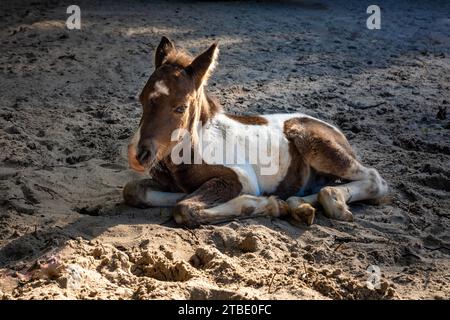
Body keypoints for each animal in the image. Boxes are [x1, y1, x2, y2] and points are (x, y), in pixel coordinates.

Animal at [122, 37, 386, 226]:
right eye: (141, 99)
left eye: (181, 107)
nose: (138, 155)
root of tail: (337, 131)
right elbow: (134, 191)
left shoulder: (238, 178)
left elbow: (185, 207)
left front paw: (263, 205)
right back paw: (299, 206)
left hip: (314, 142)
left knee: (375, 179)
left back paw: (332, 202)